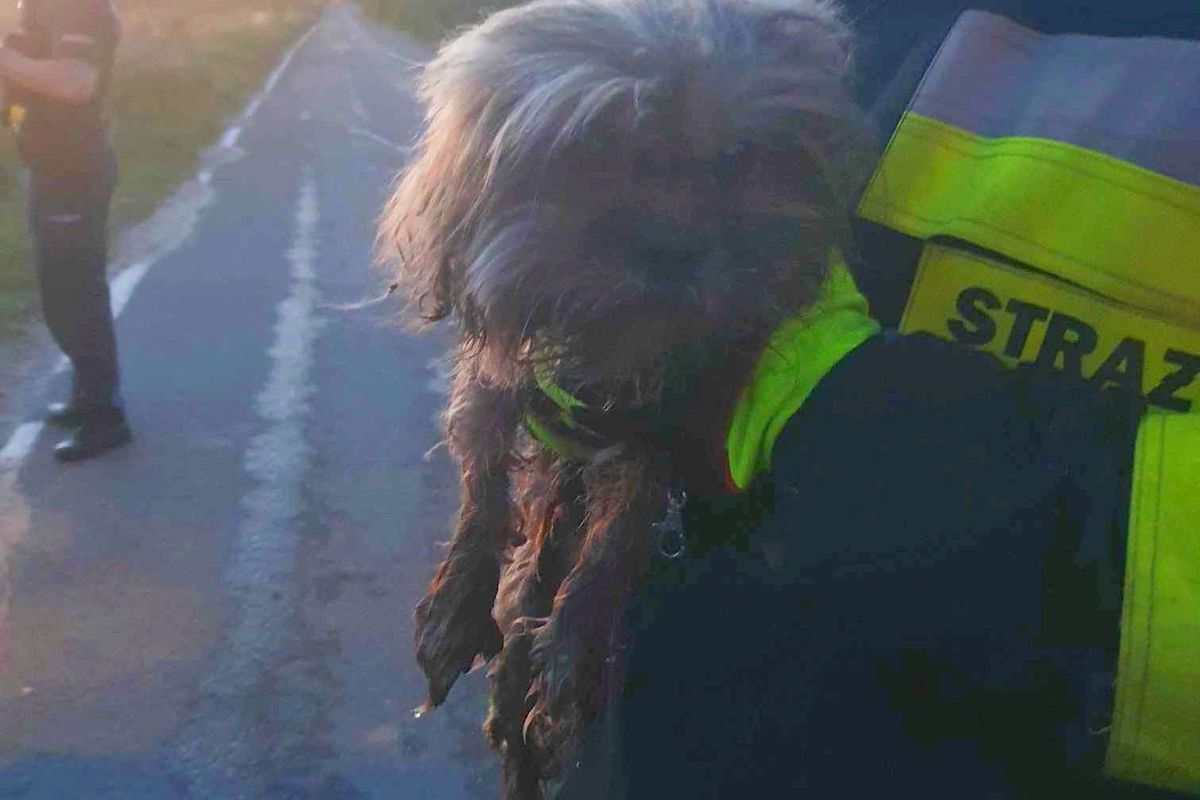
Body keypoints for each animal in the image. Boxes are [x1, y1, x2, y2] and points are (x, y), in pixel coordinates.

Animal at [381, 3, 873, 796]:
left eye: (735, 158)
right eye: (591, 150)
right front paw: (458, 596)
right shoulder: (500, 382)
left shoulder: (658, 438)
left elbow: (614, 542)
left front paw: (570, 651)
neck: (615, 357)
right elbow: (482, 481)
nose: (674, 245)